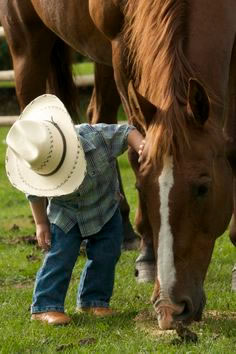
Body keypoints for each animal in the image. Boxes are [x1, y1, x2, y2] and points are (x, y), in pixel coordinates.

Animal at [0, 0, 234, 330]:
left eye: (203, 188)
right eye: (142, 189)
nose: (170, 308)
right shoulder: (122, 47)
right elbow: (136, 147)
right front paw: (148, 257)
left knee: (98, 113)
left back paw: (122, 228)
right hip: (26, 43)